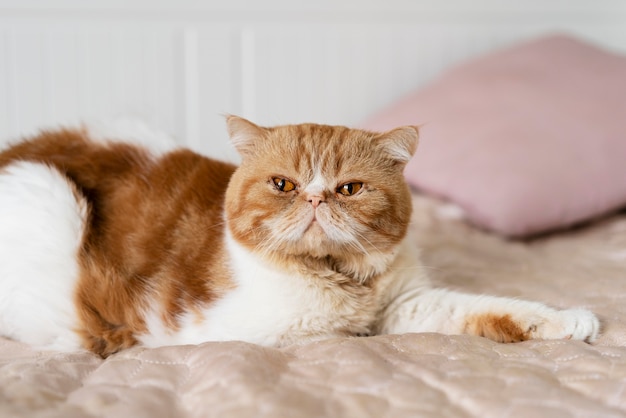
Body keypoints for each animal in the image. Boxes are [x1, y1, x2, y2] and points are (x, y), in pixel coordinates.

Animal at [0, 116, 596, 358]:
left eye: (349, 188)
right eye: (283, 184)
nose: (315, 199)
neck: (340, 278)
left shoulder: (409, 304)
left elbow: (490, 310)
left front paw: (569, 320)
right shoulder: (256, 334)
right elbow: (338, 337)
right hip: (51, 198)